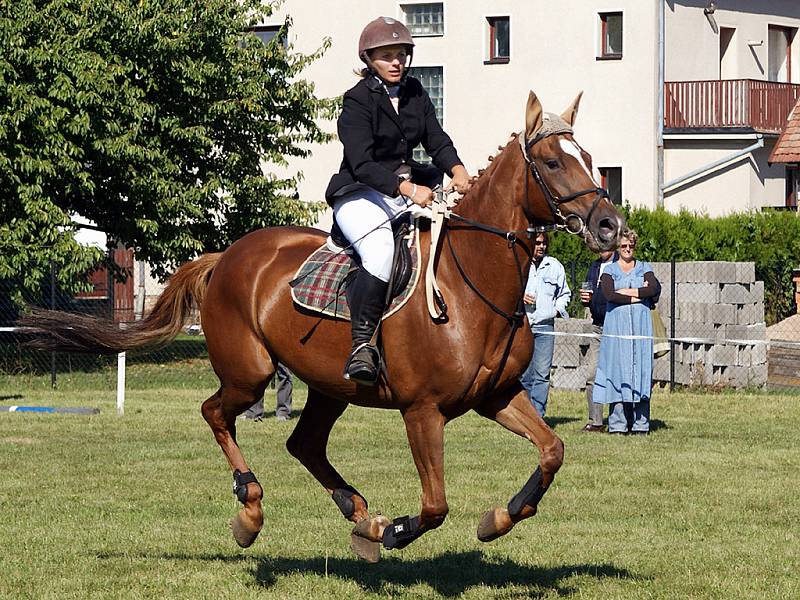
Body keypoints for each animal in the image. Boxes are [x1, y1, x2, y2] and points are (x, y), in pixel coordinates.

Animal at [21, 89, 624, 564]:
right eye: (552, 164)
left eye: (591, 158)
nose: (609, 225)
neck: (469, 282)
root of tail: (228, 255)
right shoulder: (422, 411)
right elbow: (434, 505)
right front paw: (398, 530)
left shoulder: (496, 395)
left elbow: (552, 451)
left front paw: (498, 517)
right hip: (250, 372)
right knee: (217, 413)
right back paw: (253, 511)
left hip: (330, 385)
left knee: (303, 443)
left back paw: (360, 515)